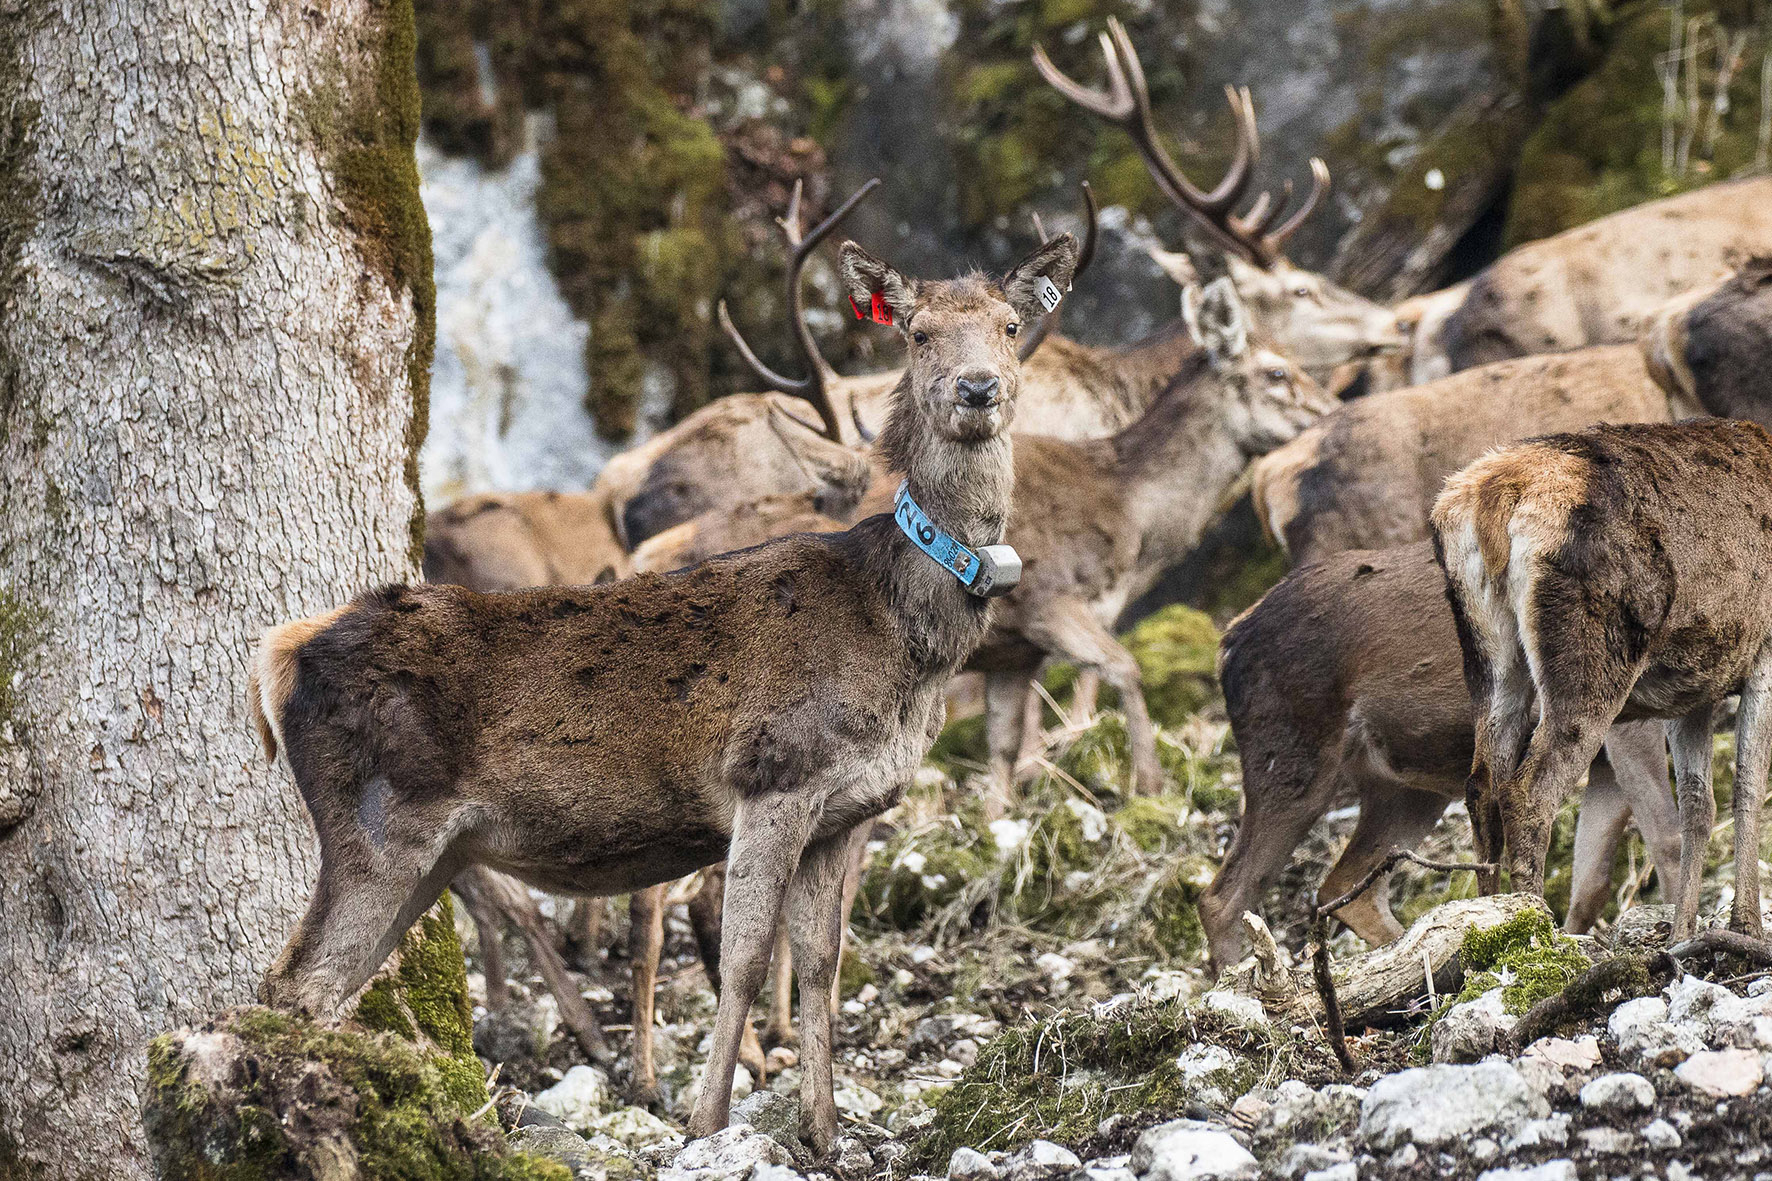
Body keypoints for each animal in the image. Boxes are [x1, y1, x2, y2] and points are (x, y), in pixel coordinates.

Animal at [249, 226, 1077, 1149]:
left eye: (1010, 326)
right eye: (920, 332)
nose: (978, 389)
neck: (904, 637)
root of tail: (279, 653)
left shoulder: (843, 812)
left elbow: (821, 962)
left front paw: (825, 1132)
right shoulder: (774, 776)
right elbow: (745, 957)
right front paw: (706, 1120)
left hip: (430, 850)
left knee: (317, 984)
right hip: (378, 824)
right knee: (297, 985)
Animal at [1204, 539, 1672, 971]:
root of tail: (1228, 642)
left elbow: (1591, 882)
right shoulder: (1627, 719)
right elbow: (1668, 839)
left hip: (1406, 788)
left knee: (1347, 887)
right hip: (1291, 756)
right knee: (1223, 899)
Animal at [1431, 416, 1772, 936]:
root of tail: (1494, 497)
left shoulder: (1694, 685)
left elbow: (1698, 804)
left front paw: (1682, 934)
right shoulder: (1763, 656)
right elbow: (1748, 788)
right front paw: (1745, 926)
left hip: (1489, 659)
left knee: (1482, 785)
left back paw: (1488, 915)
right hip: (1591, 659)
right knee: (1529, 792)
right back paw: (1535, 927)